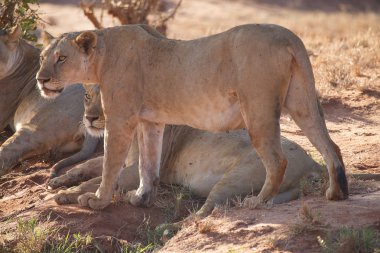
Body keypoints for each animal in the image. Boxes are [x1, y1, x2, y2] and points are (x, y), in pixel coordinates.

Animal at [49, 84, 320, 216]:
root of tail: (312, 162)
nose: (90, 118)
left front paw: (74, 194)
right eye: (87, 96)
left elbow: (98, 179)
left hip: (237, 178)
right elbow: (89, 167)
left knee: (208, 210)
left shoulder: (142, 170)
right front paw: (60, 180)